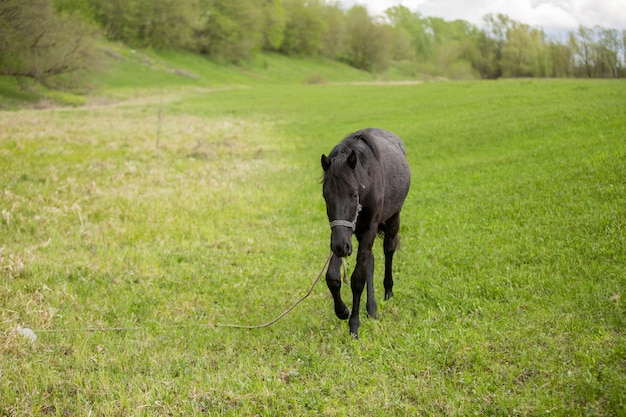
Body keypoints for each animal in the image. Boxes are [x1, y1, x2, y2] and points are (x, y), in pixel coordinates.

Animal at [322, 127, 410, 338]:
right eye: (326, 196)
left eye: (354, 194)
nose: (342, 247)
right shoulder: (341, 233)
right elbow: (333, 277)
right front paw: (342, 311)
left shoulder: (369, 227)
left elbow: (357, 279)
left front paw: (354, 324)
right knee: (370, 261)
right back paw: (371, 308)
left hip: (393, 217)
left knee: (388, 250)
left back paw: (388, 292)